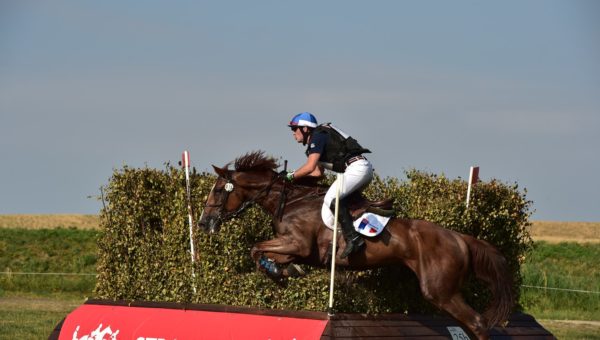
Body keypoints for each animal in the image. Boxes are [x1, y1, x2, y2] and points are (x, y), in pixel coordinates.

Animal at [199, 151, 512, 340]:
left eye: (219, 190)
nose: (203, 223)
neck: (289, 202)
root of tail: (460, 238)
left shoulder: (298, 244)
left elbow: (256, 249)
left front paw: (278, 272)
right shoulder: (294, 249)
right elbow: (265, 253)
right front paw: (284, 271)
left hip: (439, 290)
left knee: (477, 322)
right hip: (443, 292)